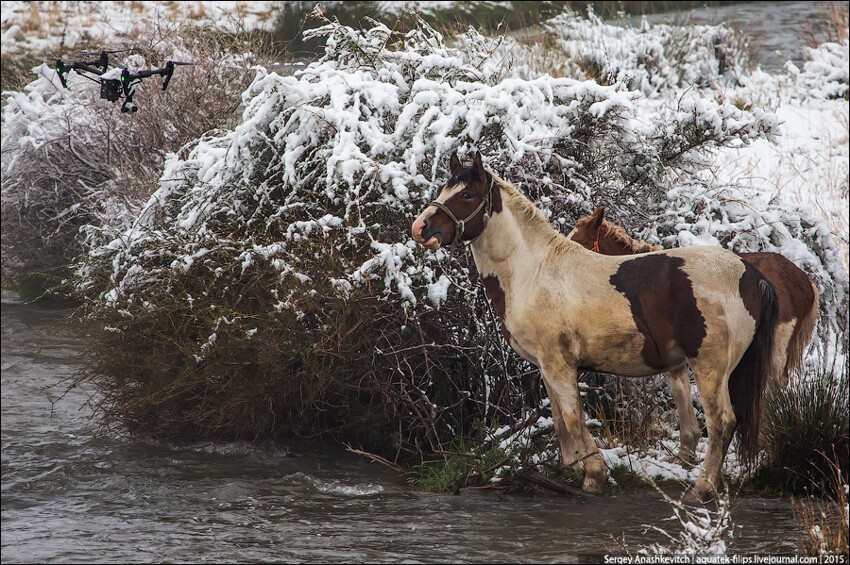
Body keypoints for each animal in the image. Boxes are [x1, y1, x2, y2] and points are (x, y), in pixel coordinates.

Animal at [410, 150, 776, 498]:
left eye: (466, 194)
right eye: (443, 189)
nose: (421, 229)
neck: (533, 271)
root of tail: (750, 274)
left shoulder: (559, 364)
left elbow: (573, 418)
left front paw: (594, 474)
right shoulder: (546, 365)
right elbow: (559, 420)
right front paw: (574, 468)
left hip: (710, 369)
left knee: (722, 422)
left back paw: (701, 489)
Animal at [568, 206, 820, 458]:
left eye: (582, 242)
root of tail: (804, 281)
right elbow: (681, 392)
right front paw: (688, 448)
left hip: (776, 353)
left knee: (775, 391)